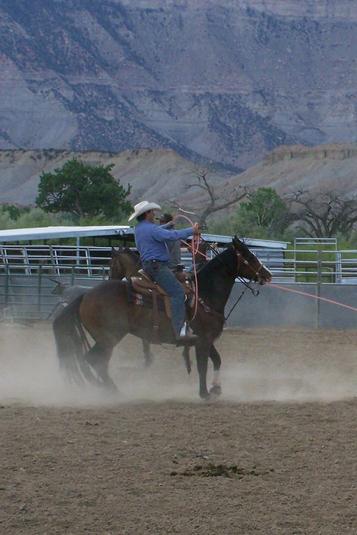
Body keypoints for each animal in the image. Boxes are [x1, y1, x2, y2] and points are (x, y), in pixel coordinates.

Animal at [52, 238, 270, 398]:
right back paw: (111, 391)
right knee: (95, 360)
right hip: (109, 337)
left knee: (95, 362)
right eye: (249, 256)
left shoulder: (205, 339)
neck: (204, 293)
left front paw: (216, 388)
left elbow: (217, 360)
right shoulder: (203, 339)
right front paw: (205, 393)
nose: (267, 275)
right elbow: (203, 366)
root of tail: (84, 296)